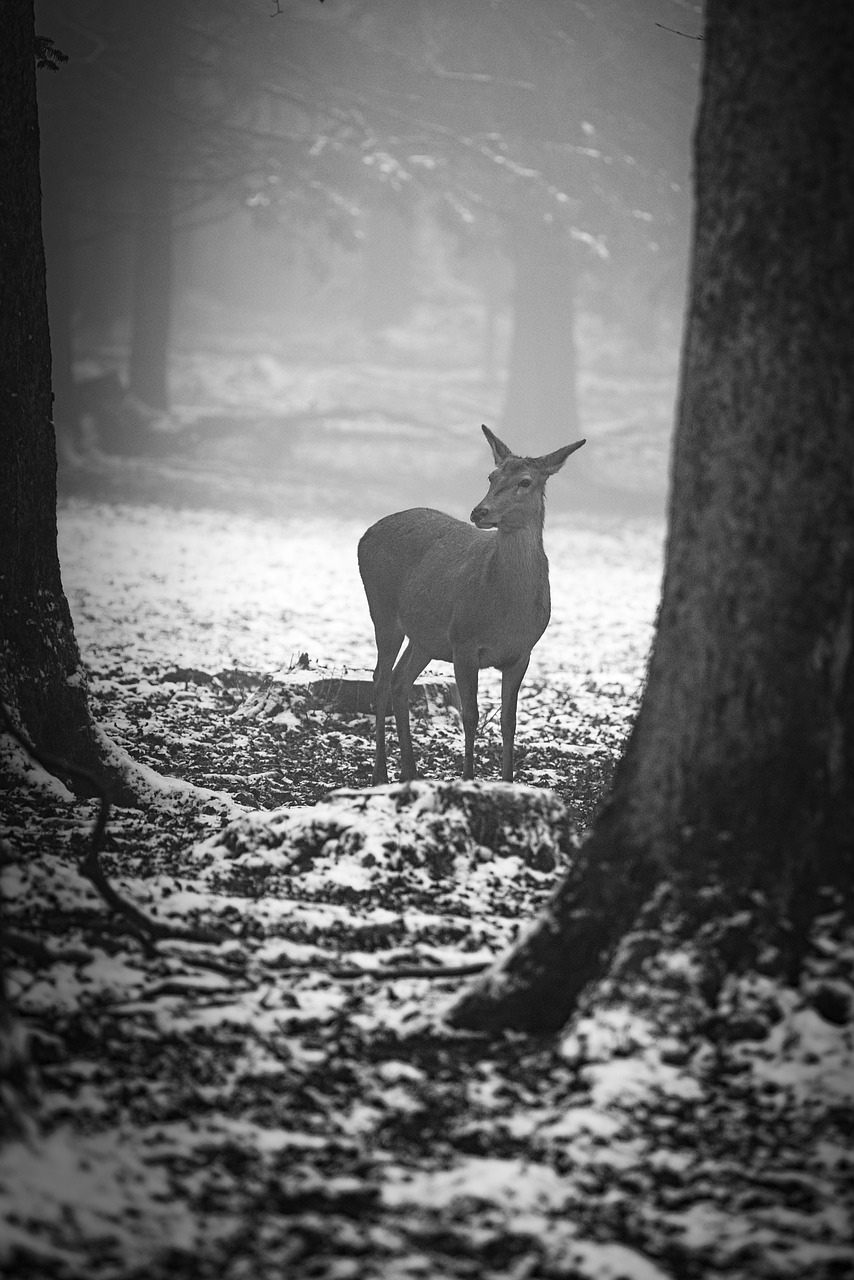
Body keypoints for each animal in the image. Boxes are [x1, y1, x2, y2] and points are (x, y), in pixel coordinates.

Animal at [355, 424, 588, 783]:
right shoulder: (464, 642)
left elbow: (509, 721)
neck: (507, 611)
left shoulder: (522, 652)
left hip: (427, 636)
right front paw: (467, 778)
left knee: (400, 680)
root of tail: (364, 535)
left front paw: (508, 782)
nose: (480, 511)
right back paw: (381, 773)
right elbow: (471, 715)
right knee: (379, 679)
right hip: (382, 609)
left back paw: (411, 772)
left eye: (525, 481)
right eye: (491, 476)